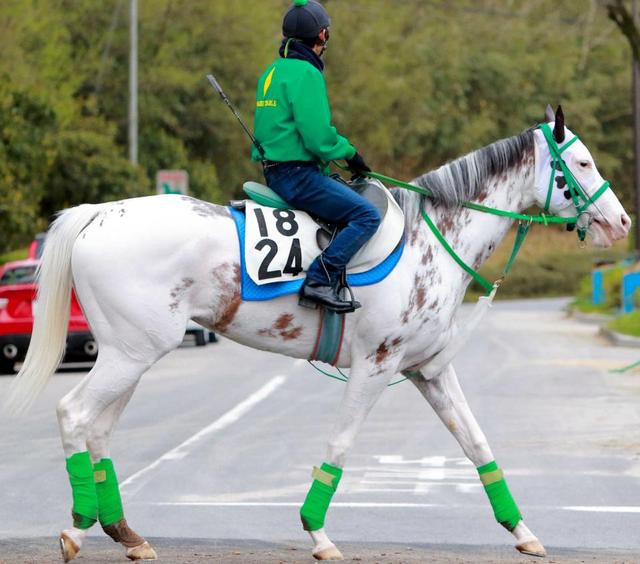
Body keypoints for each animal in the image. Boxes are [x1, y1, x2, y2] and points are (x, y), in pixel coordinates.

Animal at [2, 104, 628, 560]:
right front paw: (317, 533)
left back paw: (125, 534)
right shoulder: (375, 367)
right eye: (583, 162)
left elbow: (478, 446)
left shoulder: (429, 371)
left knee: (100, 432)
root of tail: (100, 213)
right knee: (75, 416)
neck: (430, 241)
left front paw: (523, 531)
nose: (621, 222)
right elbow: (340, 446)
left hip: (130, 353)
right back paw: (77, 529)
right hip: (131, 354)